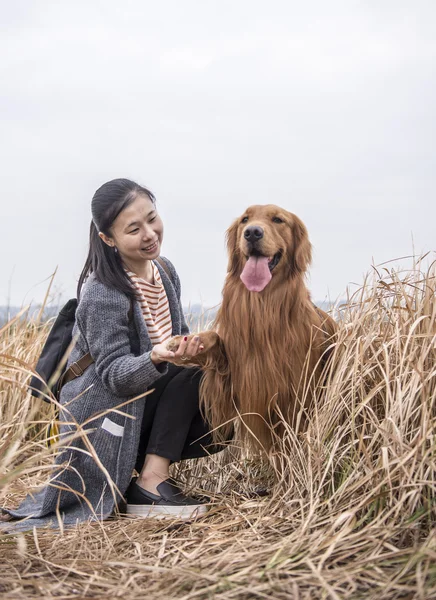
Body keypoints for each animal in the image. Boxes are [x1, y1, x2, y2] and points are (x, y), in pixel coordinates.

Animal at [169, 205, 336, 450]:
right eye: (245, 220)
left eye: (278, 220)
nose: (252, 233)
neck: (262, 307)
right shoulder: (232, 382)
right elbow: (215, 339)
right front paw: (185, 342)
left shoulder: (295, 397)